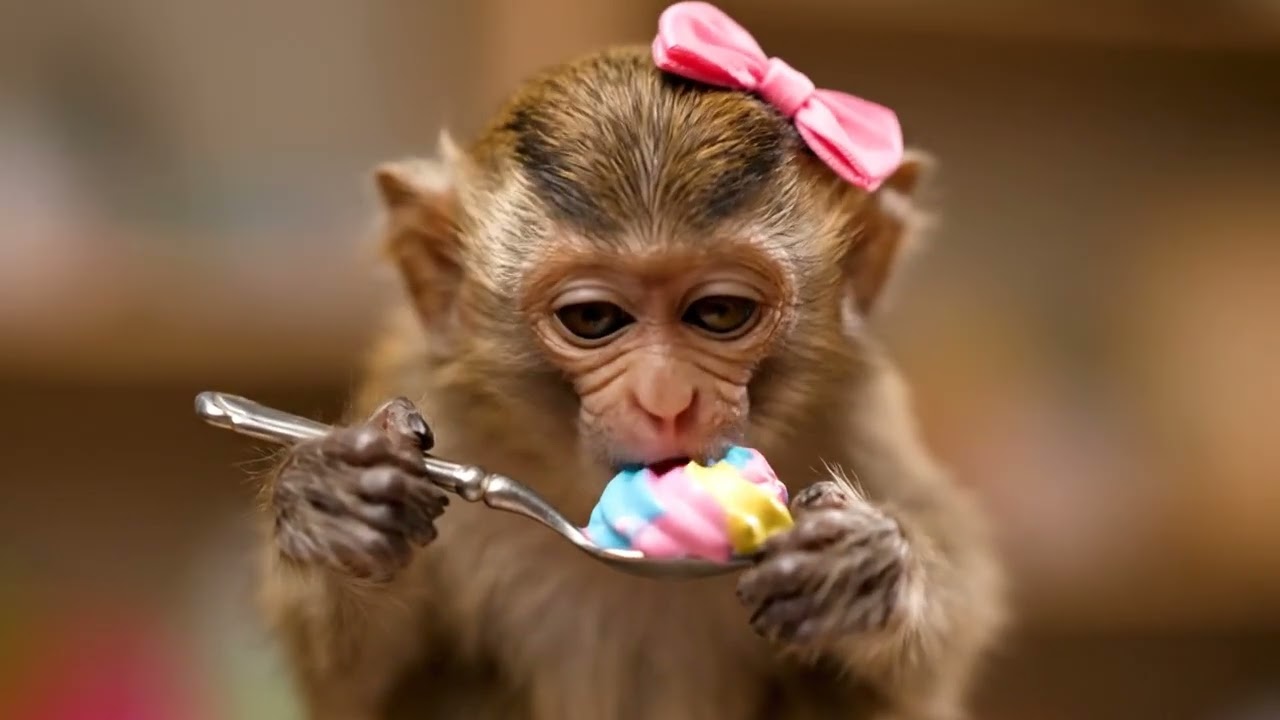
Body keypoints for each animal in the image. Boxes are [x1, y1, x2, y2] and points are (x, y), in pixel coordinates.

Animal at [254, 41, 1005, 720]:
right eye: (593, 318)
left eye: (720, 312)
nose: (666, 397)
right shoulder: (434, 392)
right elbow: (353, 689)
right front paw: (336, 500)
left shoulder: (858, 409)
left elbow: (922, 675)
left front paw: (864, 571)